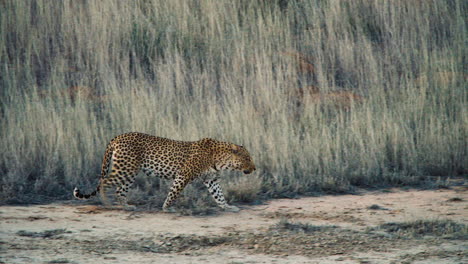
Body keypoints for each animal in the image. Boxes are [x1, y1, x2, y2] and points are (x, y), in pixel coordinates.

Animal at [74, 132, 256, 212]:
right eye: (247, 158)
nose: (255, 168)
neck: (220, 159)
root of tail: (118, 136)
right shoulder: (184, 175)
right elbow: (174, 193)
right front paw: (166, 208)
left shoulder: (211, 180)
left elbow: (219, 195)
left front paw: (228, 207)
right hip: (125, 169)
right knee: (104, 182)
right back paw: (107, 202)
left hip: (129, 172)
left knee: (119, 190)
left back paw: (126, 206)